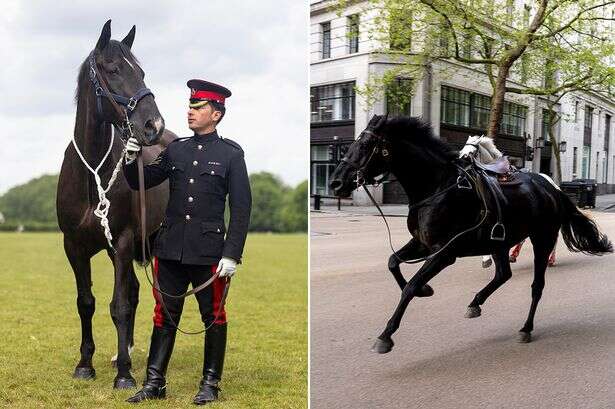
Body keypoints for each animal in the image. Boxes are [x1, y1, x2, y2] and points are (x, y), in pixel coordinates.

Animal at [56, 20, 177, 388]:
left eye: (141, 71)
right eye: (112, 69)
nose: (153, 125)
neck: (92, 171)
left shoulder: (122, 241)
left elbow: (119, 305)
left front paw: (124, 375)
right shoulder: (74, 246)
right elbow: (86, 302)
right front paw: (85, 364)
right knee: (135, 290)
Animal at [332, 115, 612, 354]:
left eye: (365, 144)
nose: (336, 183)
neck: (437, 188)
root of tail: (553, 188)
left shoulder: (445, 253)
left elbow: (409, 287)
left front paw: (386, 335)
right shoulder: (422, 244)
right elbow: (393, 263)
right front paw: (426, 289)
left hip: (542, 238)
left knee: (537, 286)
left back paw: (525, 328)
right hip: (500, 242)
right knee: (503, 274)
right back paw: (476, 303)